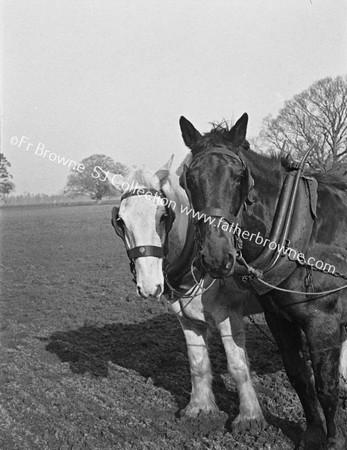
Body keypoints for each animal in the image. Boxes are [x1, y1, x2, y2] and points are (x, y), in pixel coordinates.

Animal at [179, 113, 347, 450]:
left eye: (239, 175)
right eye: (189, 177)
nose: (216, 256)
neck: (301, 233)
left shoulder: (324, 322)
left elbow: (326, 387)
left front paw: (334, 441)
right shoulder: (278, 319)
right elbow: (299, 377)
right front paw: (312, 435)